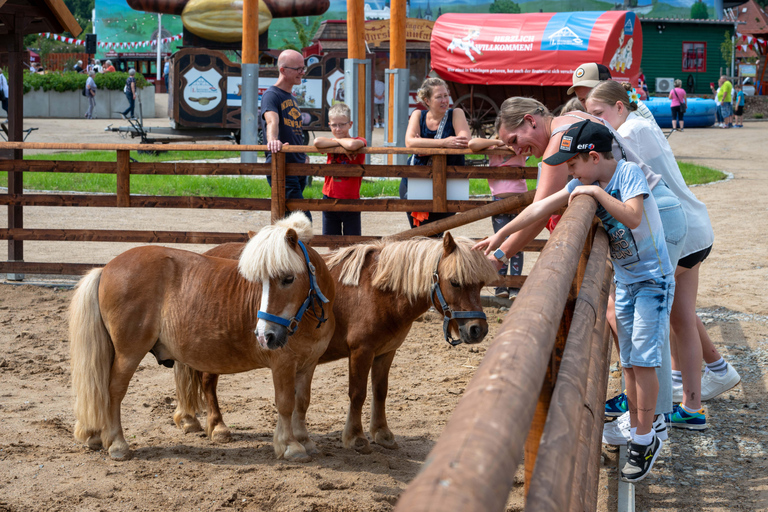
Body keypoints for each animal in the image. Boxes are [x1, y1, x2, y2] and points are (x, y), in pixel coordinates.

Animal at [70, 212, 336, 460]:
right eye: (259, 282)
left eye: (288, 279)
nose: (264, 335)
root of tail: (105, 269)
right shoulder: (283, 365)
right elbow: (285, 403)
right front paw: (290, 445)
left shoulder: (308, 364)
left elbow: (302, 402)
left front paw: (305, 440)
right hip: (128, 354)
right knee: (113, 390)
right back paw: (117, 443)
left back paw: (99, 436)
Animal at [171, 232, 500, 452]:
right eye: (455, 282)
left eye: (481, 283)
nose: (477, 330)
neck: (378, 290)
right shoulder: (361, 351)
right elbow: (358, 394)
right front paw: (356, 437)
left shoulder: (386, 352)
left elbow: (380, 392)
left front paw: (382, 433)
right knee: (207, 381)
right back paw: (217, 426)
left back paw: (190, 420)